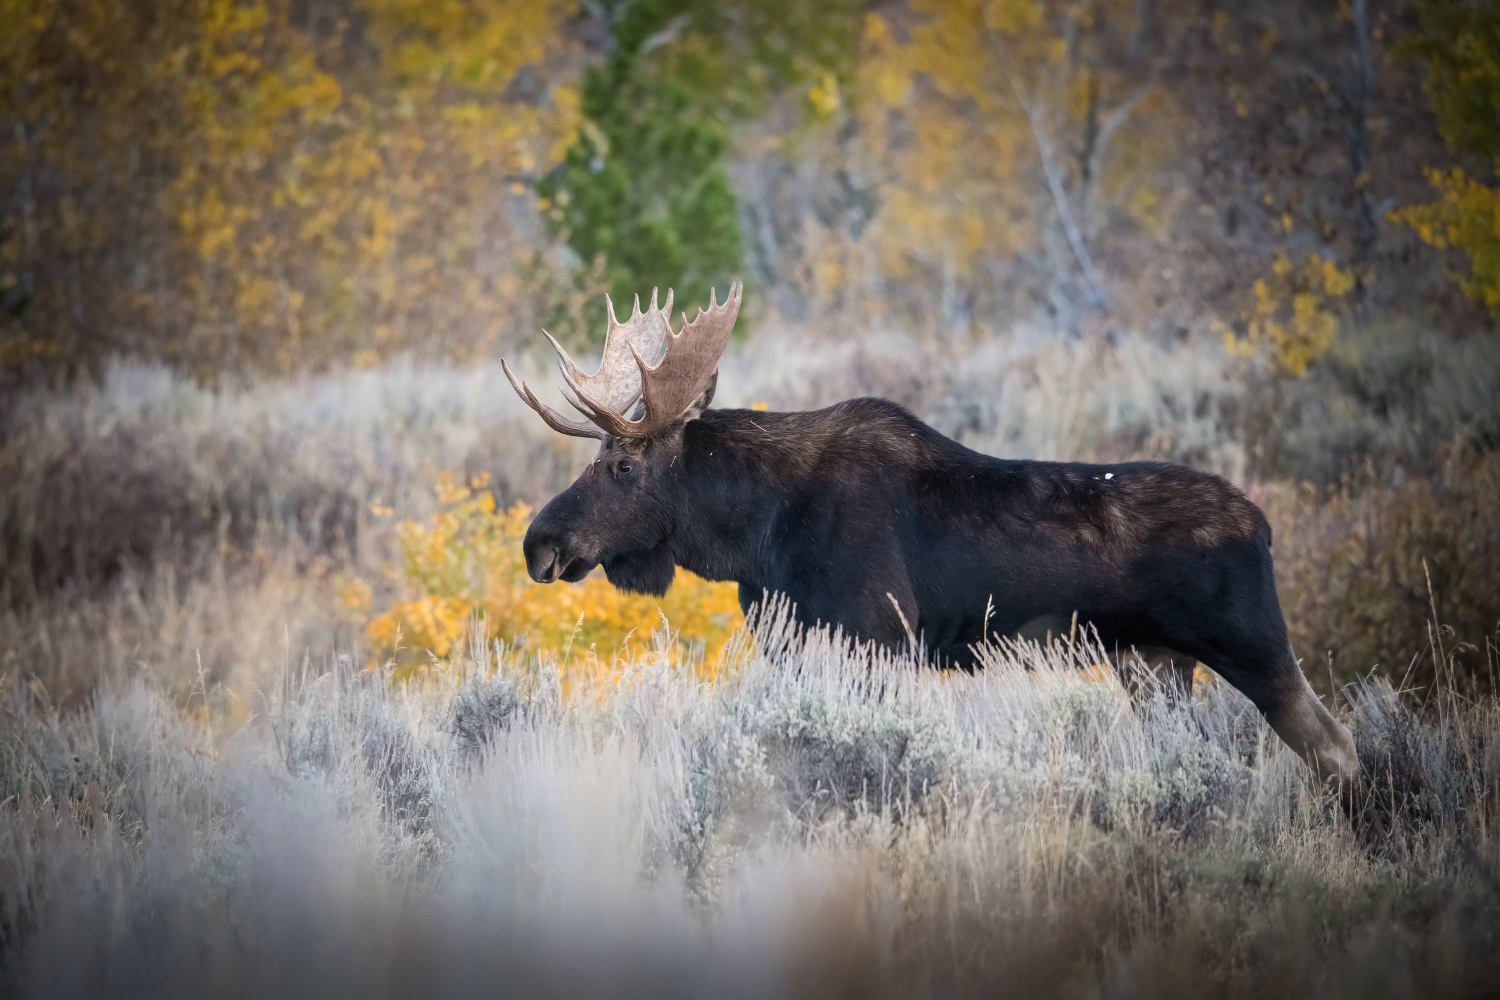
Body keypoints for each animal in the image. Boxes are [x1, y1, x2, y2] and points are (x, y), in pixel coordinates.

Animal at [504, 283, 1362, 791]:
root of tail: (1264, 524)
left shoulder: (881, 639)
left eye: (620, 464)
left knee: (1336, 743)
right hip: (1154, 665)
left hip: (1251, 643)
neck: (754, 534)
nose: (539, 543)